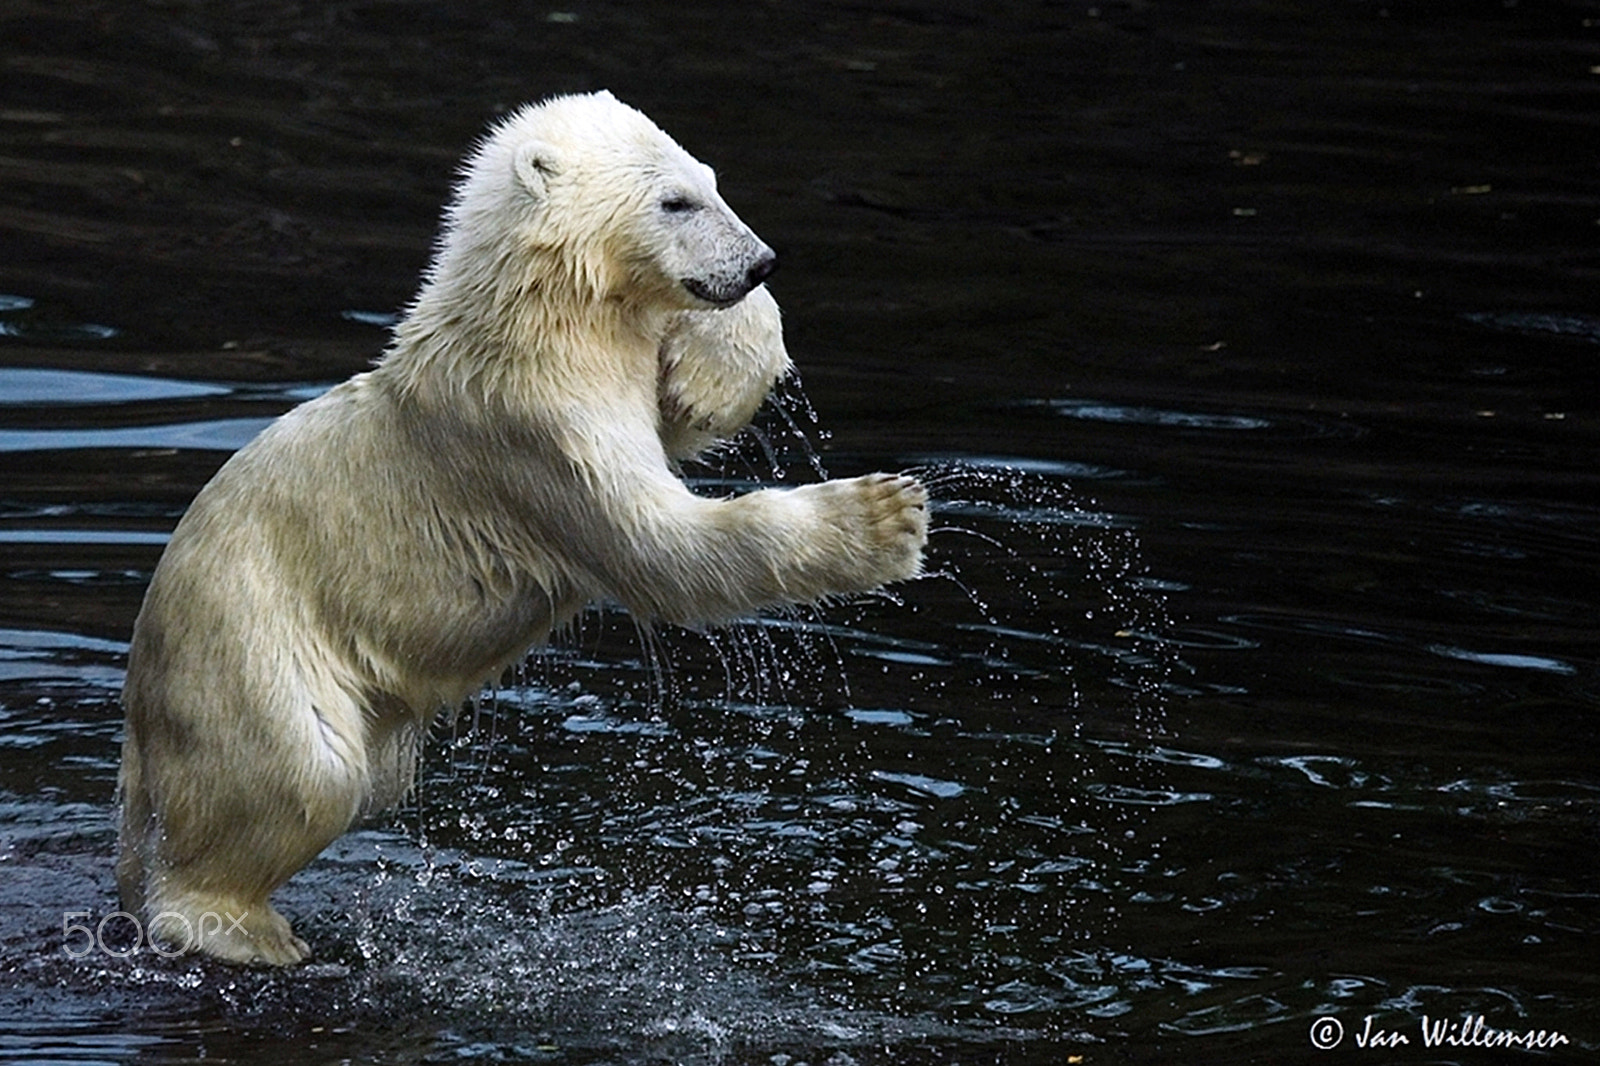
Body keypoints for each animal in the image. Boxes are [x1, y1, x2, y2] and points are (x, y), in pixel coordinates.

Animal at [115, 91, 927, 966]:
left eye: (711, 182)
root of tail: (138, 702)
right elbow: (660, 548)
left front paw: (716, 369)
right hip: (248, 638)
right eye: (674, 201)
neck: (535, 313)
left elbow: (681, 419)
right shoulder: (534, 425)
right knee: (303, 771)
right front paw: (889, 515)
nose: (759, 262)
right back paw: (242, 930)